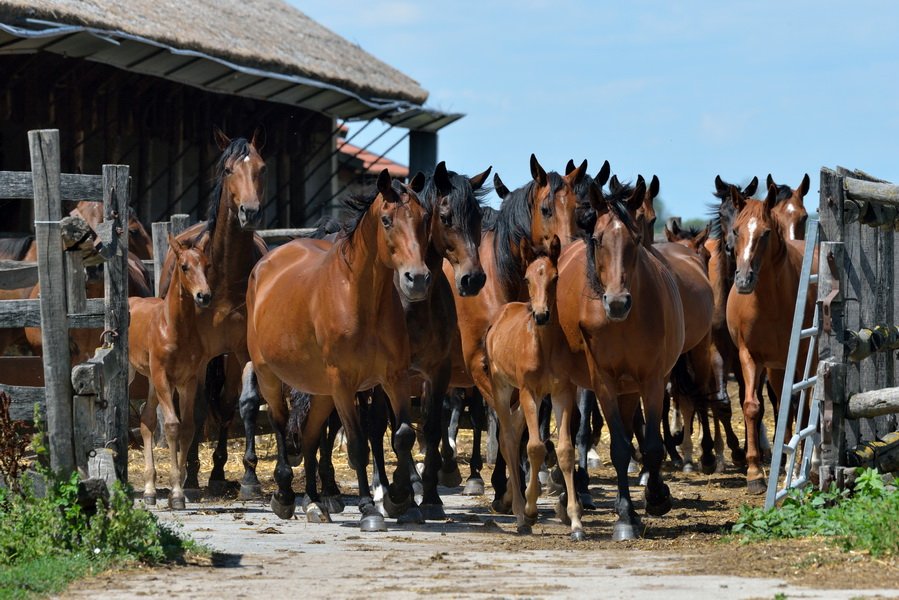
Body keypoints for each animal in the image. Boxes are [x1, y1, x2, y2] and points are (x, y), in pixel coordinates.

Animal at [127, 233, 212, 506]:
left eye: (207, 265)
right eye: (184, 267)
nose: (204, 296)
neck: (175, 328)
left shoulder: (188, 380)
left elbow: (187, 427)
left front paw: (182, 486)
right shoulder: (163, 376)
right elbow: (173, 425)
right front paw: (175, 492)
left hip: (154, 381)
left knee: (147, 421)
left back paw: (150, 490)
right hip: (140, 375)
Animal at [244, 170, 430, 528]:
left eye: (424, 218)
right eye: (386, 220)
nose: (417, 279)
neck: (361, 300)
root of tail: (265, 263)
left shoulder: (394, 378)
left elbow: (401, 434)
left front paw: (401, 498)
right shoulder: (344, 384)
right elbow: (358, 445)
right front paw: (369, 508)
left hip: (321, 391)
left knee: (310, 435)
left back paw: (315, 502)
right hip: (271, 377)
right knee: (279, 423)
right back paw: (284, 496)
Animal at [486, 234, 592, 540]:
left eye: (555, 278)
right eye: (527, 278)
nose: (542, 315)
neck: (543, 346)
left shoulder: (561, 393)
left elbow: (565, 451)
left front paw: (576, 522)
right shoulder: (528, 392)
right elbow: (534, 448)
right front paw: (531, 510)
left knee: (515, 432)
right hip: (503, 389)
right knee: (509, 439)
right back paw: (520, 515)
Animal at [556, 180, 684, 540]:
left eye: (634, 240)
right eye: (598, 239)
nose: (616, 302)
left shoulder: (652, 380)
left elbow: (651, 445)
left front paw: (656, 497)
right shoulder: (603, 382)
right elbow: (619, 447)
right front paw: (625, 517)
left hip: (632, 387)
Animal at [728, 185, 820, 494]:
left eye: (766, 233)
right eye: (735, 230)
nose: (744, 280)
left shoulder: (802, 356)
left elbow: (802, 405)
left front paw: (801, 465)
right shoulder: (749, 356)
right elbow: (752, 406)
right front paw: (755, 473)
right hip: (777, 367)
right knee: (782, 404)